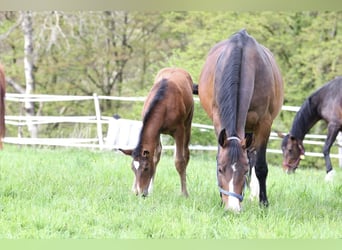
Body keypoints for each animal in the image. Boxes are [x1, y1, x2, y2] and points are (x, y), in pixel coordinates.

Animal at [119, 67, 195, 197]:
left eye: (146, 168)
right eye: (132, 168)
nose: (140, 193)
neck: (164, 103)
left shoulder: (179, 130)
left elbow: (179, 161)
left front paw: (184, 193)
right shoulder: (156, 131)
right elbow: (155, 157)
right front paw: (137, 189)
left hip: (187, 123)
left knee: (186, 153)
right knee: (158, 154)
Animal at [198, 29, 284, 213]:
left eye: (243, 171)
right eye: (220, 169)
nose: (232, 208)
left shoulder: (264, 124)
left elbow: (260, 166)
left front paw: (264, 203)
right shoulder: (218, 120)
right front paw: (220, 200)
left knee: (254, 158)